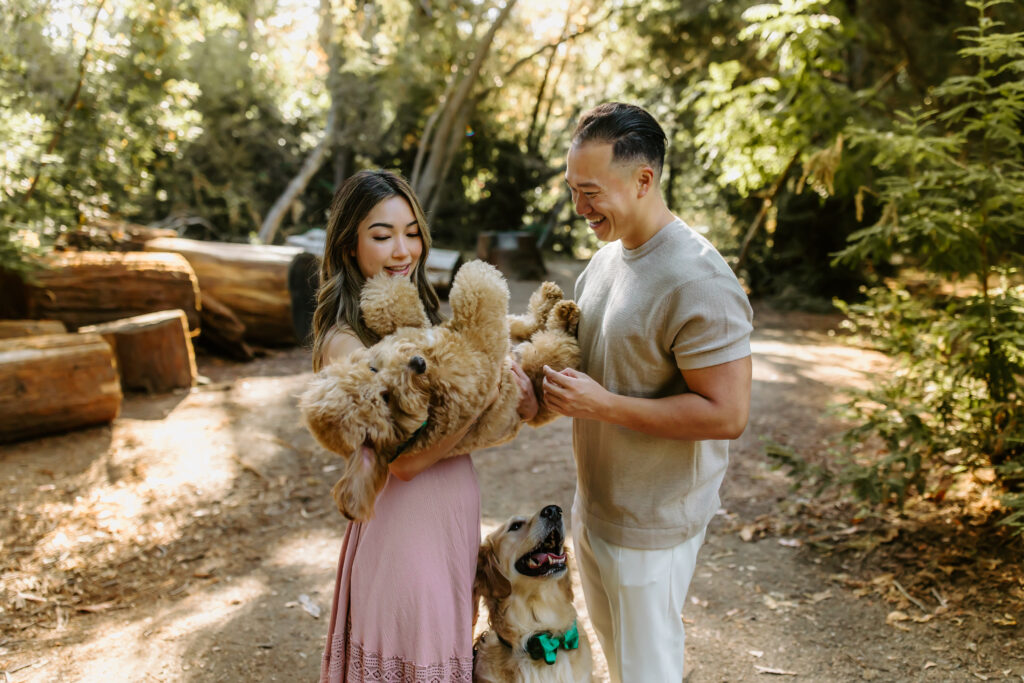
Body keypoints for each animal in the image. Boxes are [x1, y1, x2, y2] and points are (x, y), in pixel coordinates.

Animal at [299, 259, 581, 520]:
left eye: (373, 370)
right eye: (387, 399)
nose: (417, 364)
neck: (428, 385)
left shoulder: (421, 330)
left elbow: (395, 307)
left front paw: (384, 285)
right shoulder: (482, 349)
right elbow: (477, 295)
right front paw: (476, 269)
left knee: (528, 324)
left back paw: (551, 299)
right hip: (547, 363)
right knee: (557, 339)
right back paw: (564, 315)